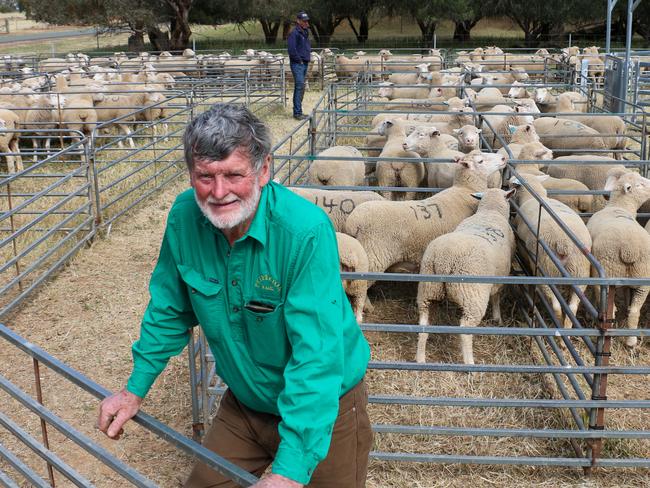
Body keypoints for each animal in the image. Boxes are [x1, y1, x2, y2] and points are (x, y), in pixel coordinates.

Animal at [416, 189, 516, 364]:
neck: (490, 211)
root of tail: (444, 260)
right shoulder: (500, 277)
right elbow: (496, 297)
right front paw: (497, 317)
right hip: (472, 295)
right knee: (464, 330)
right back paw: (470, 363)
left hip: (428, 289)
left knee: (423, 323)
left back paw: (420, 358)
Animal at [508, 173, 588, 326]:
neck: (533, 196)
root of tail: (563, 242)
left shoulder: (527, 258)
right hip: (580, 272)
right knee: (572, 308)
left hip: (545, 268)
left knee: (555, 305)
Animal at [584, 168, 648, 346]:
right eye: (640, 184)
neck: (619, 206)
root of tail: (630, 249)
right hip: (638, 277)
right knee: (634, 311)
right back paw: (631, 341)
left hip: (616, 274)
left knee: (613, 312)